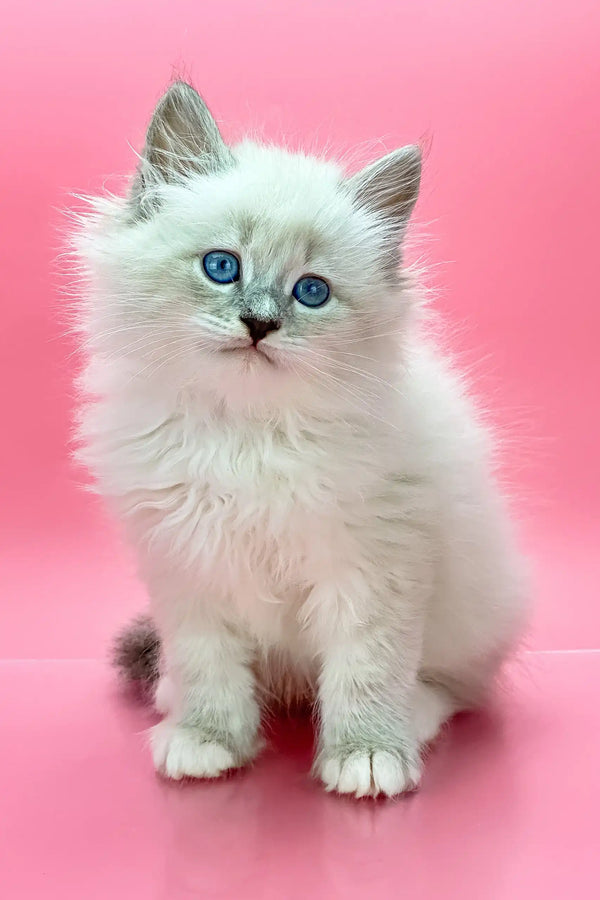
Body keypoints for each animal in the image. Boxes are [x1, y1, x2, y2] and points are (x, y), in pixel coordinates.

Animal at [72, 81, 528, 800]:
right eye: (222, 267)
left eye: (310, 292)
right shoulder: (189, 569)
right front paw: (207, 739)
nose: (260, 323)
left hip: (472, 612)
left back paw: (413, 718)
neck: (246, 433)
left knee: (455, 687)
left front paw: (367, 756)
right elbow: (208, 669)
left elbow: (367, 671)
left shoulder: (373, 569)